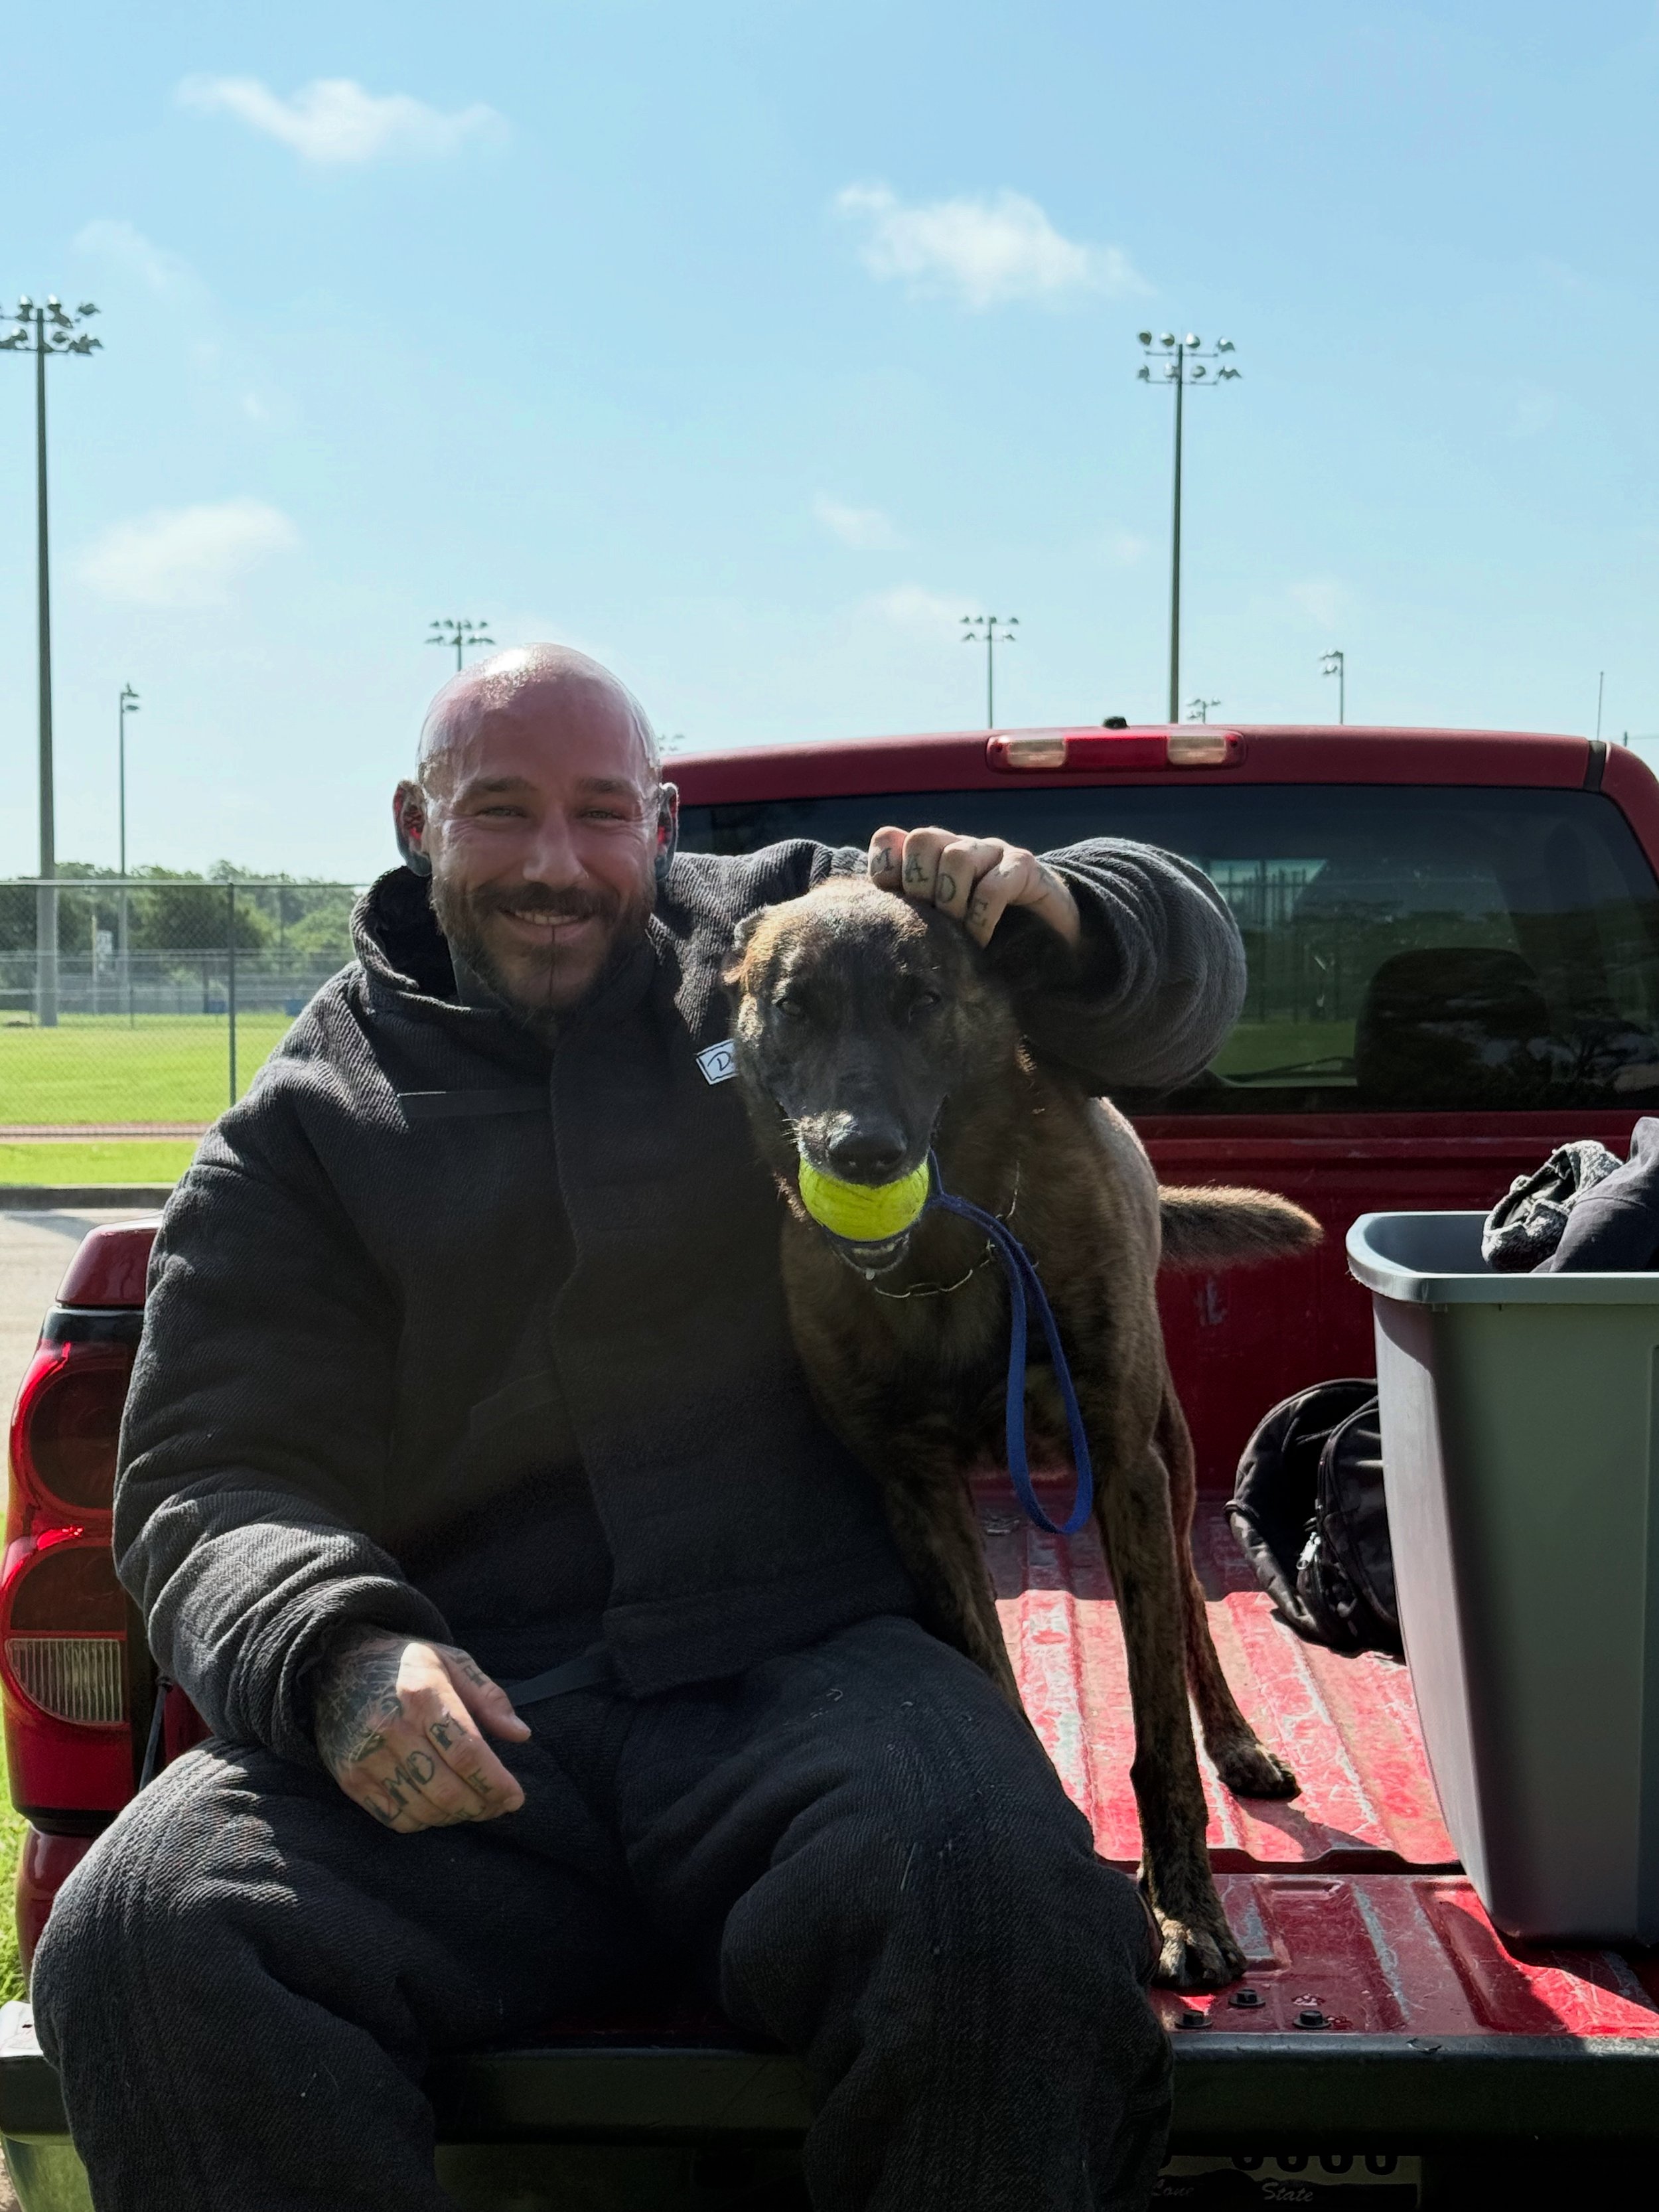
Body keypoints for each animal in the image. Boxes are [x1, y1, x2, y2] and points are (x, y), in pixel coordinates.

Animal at [724, 876, 1321, 1988]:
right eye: (795, 1007)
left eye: (921, 1000)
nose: (860, 1153)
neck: (946, 1260)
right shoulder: (920, 1498)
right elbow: (993, 1679)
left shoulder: (1123, 1473)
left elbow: (1158, 1731)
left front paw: (1185, 1906)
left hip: (1167, 1471)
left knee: (1192, 1616)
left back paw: (1236, 1738)